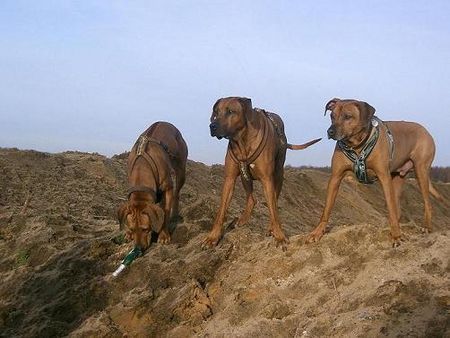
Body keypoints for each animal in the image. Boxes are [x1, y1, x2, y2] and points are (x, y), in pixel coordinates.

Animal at [202, 96, 322, 250]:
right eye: (216, 112)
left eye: (230, 111)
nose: (212, 126)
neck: (242, 140)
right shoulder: (229, 178)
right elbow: (221, 210)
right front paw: (213, 237)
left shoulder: (267, 179)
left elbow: (274, 210)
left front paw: (280, 236)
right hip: (245, 175)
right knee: (252, 199)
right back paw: (241, 220)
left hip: (278, 174)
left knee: (274, 200)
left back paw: (271, 228)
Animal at [304, 97, 442, 246]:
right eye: (332, 116)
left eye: (348, 116)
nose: (330, 132)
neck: (356, 146)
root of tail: (425, 130)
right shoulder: (335, 177)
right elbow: (326, 209)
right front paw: (317, 232)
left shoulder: (384, 177)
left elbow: (391, 208)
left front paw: (396, 236)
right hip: (398, 177)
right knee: (398, 209)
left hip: (420, 171)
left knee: (426, 204)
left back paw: (426, 227)